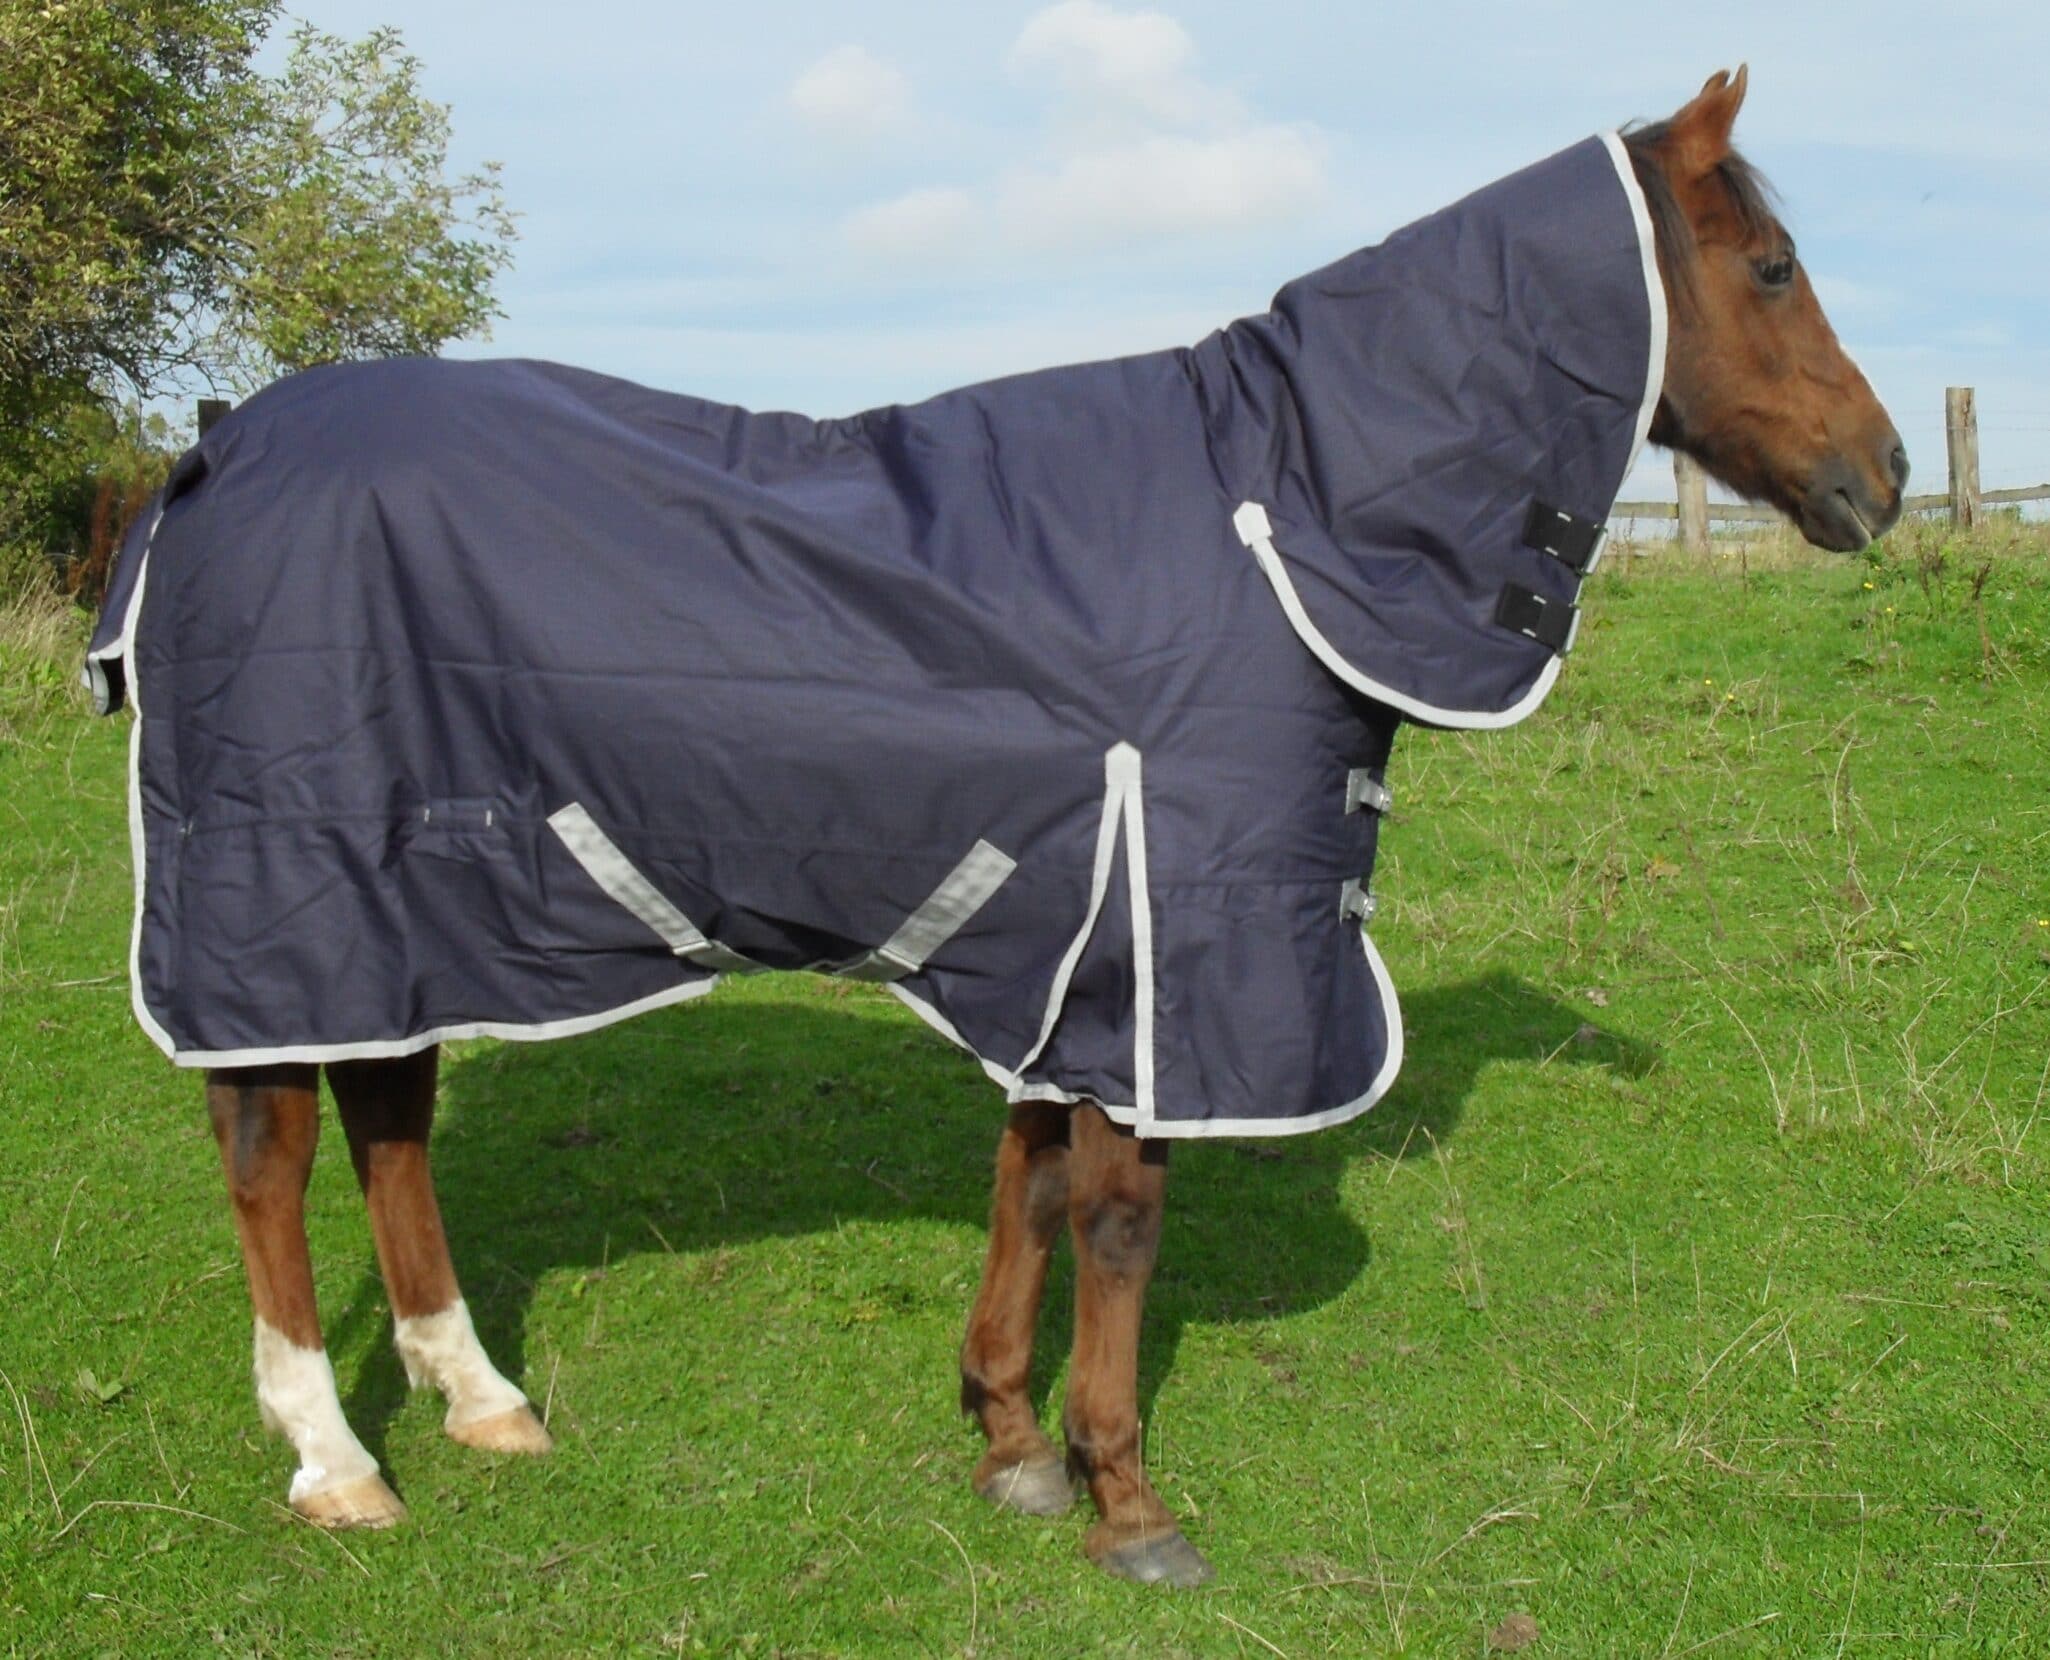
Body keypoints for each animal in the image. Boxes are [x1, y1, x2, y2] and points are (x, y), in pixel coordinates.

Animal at [98, 67, 1903, 1588]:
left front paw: (1011, 1441)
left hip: (407, 902)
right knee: (272, 1154)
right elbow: (1119, 1214)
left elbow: (1028, 1185)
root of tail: (214, 447)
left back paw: (478, 1399)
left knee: (390, 1110)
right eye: (1769, 268)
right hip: (285, 886)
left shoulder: (1073, 940)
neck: (1279, 519)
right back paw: (336, 1459)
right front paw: (1125, 1495)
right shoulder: (1174, 943)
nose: (1880, 476)